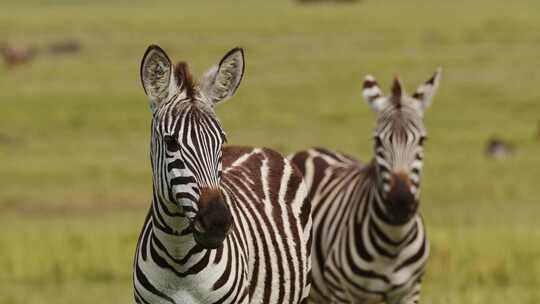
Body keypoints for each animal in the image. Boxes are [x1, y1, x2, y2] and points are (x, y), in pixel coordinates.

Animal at [288, 69, 440, 304]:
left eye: (422, 140)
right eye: (378, 141)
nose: (401, 202)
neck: (393, 244)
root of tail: (307, 151)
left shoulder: (411, 291)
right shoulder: (341, 291)